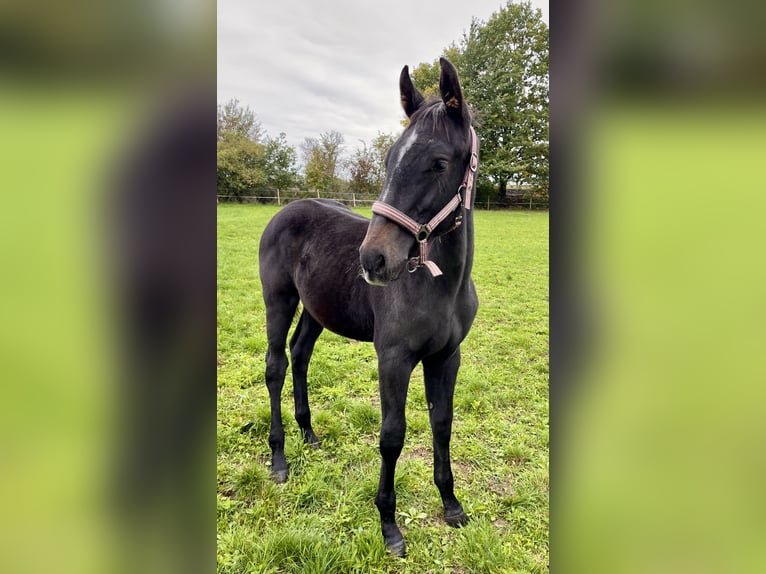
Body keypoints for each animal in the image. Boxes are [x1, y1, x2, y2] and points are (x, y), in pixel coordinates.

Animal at [258, 57, 479, 556]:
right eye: (389, 159)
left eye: (439, 162)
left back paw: (309, 434)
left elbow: (442, 422)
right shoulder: (393, 358)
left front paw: (452, 505)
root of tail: (285, 210)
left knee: (300, 354)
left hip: (316, 310)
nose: (373, 260)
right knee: (276, 365)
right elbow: (392, 436)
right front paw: (389, 527)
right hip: (278, 301)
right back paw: (279, 459)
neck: (441, 285)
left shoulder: (447, 357)